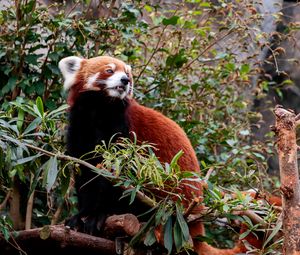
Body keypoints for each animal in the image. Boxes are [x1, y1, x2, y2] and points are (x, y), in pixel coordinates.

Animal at [58, 55, 272, 255]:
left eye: (127, 73)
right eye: (109, 70)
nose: (125, 80)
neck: (99, 110)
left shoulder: (123, 132)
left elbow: (114, 179)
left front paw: (98, 215)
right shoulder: (80, 129)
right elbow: (86, 174)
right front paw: (81, 216)